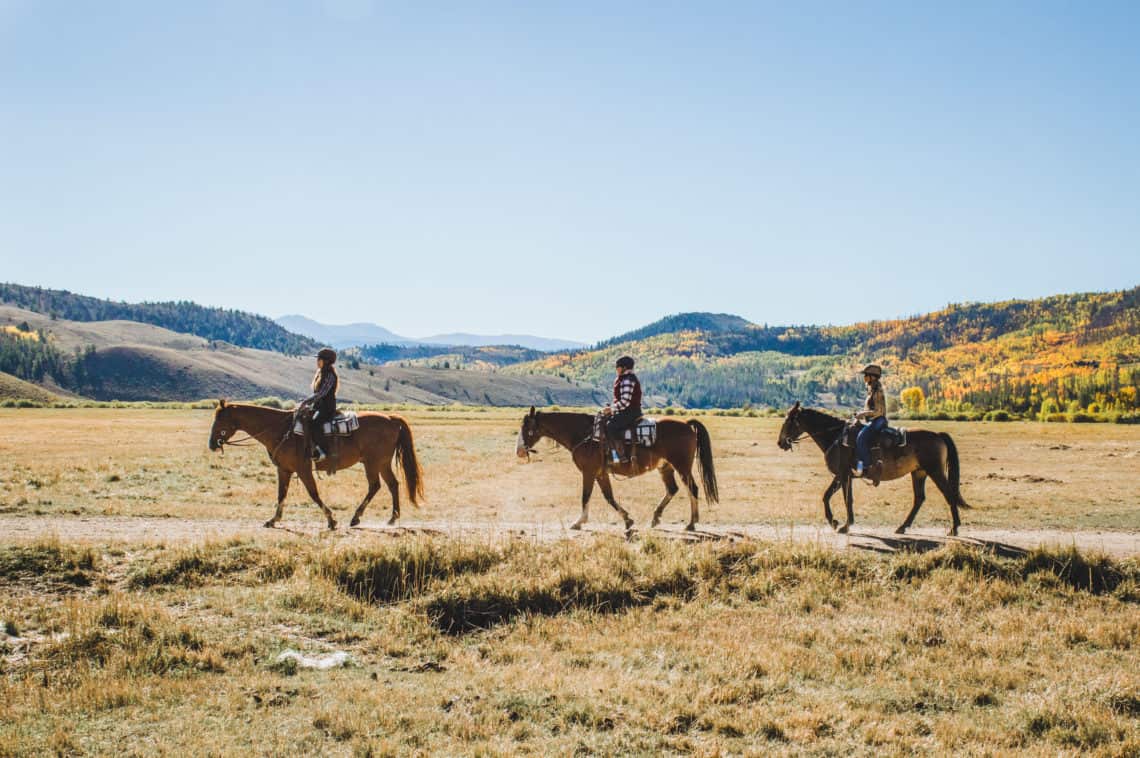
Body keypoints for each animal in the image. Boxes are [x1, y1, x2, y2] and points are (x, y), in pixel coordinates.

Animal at [206, 398, 424, 528]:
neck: (280, 430)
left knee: (376, 485)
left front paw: (331, 520)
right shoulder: (284, 470)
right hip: (380, 463)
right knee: (392, 484)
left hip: (373, 462)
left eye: (220, 420)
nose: (211, 444)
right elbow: (281, 494)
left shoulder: (303, 469)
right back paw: (391, 517)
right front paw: (273, 520)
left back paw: (358, 517)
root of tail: (391, 418)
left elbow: (313, 494)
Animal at [519, 408, 720, 531]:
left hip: (682, 466)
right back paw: (656, 518)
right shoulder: (600, 474)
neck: (584, 434)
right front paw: (627, 520)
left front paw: (578, 522)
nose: (520, 451)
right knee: (672, 489)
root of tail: (686, 424)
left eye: (526, 428)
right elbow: (609, 497)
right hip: (665, 467)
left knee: (692, 489)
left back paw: (691, 523)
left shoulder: (589, 472)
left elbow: (586, 496)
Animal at [775, 401, 971, 538]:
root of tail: (938, 435)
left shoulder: (844, 475)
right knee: (919, 499)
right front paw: (834, 522)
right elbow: (827, 496)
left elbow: (847, 499)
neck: (835, 436)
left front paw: (845, 525)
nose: (780, 442)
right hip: (919, 473)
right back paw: (902, 527)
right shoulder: (842, 475)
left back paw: (954, 528)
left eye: (789, 421)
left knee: (949, 495)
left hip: (935, 471)